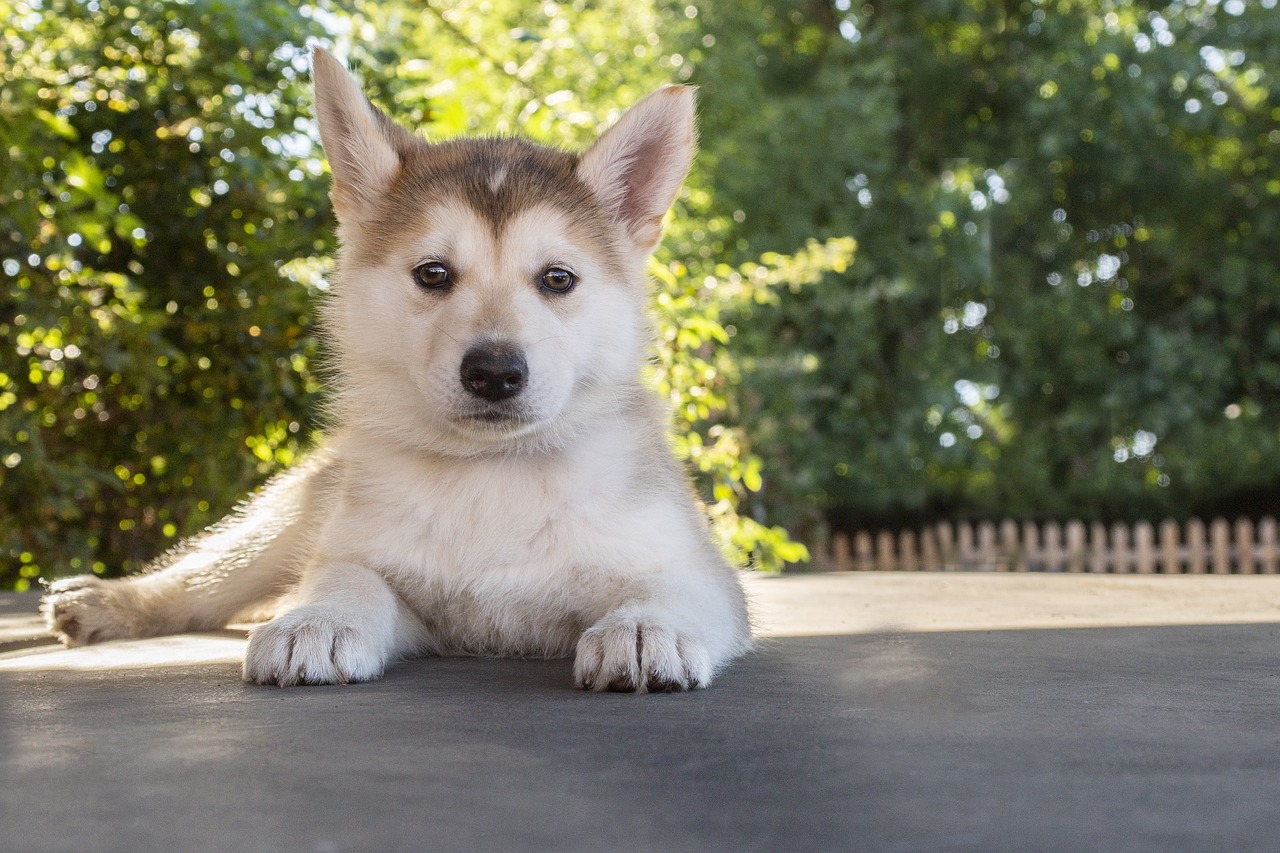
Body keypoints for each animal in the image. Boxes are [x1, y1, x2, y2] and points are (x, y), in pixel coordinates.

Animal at [42, 49, 747, 691]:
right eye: (433, 274)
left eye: (558, 279)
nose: (494, 373)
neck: (490, 475)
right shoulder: (367, 560)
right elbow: (347, 578)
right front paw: (317, 620)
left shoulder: (701, 570)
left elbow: (670, 588)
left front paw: (645, 628)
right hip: (293, 516)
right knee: (206, 578)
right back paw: (110, 602)